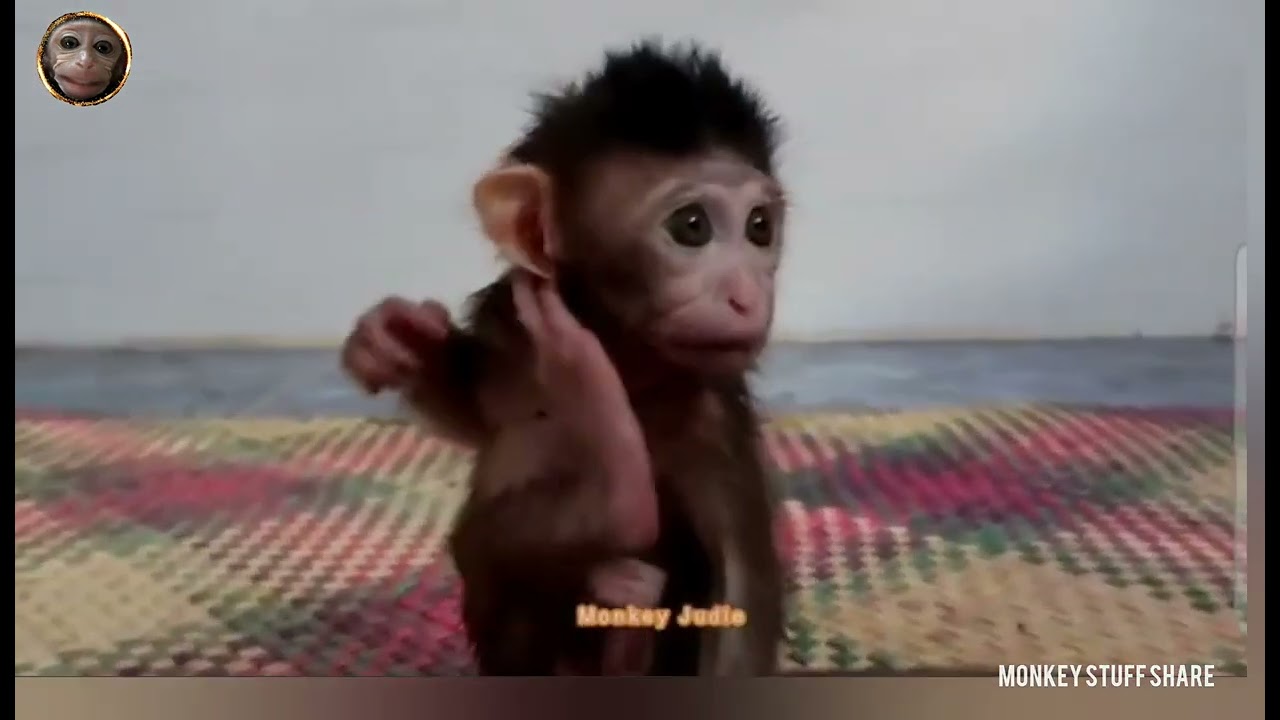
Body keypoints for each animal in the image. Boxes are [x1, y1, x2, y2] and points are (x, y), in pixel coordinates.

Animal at [341, 40, 787, 676]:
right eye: (692, 226)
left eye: (759, 228)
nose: (748, 294)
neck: (621, 355)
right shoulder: (513, 336)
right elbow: (476, 415)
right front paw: (390, 340)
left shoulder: (709, 416)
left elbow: (741, 589)